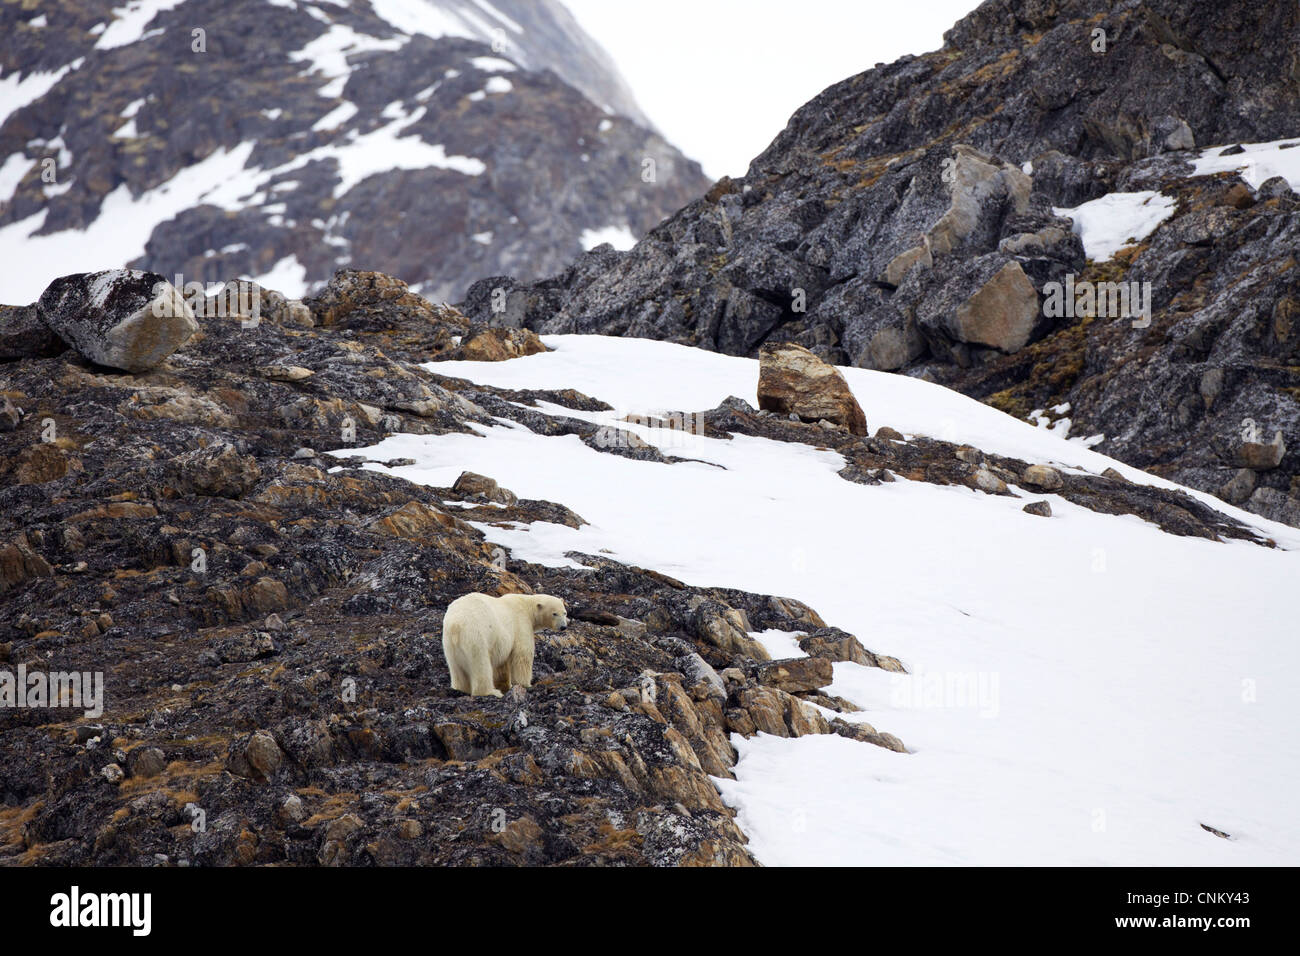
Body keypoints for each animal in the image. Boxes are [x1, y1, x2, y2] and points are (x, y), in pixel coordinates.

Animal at [441, 590, 569, 697]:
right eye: (554, 613)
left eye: (565, 613)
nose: (563, 627)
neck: (526, 606)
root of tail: (455, 625)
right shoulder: (521, 623)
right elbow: (522, 654)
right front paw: (525, 684)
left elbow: (501, 664)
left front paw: (504, 685)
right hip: (476, 636)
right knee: (481, 665)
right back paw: (491, 692)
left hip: (449, 645)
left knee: (456, 669)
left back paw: (461, 689)